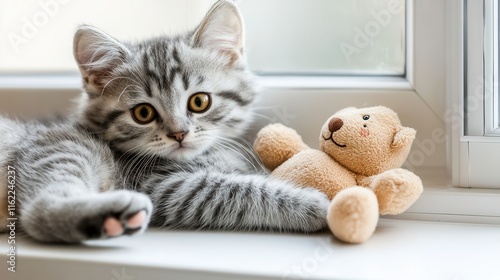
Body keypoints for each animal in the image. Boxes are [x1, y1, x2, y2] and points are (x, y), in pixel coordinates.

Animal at [0, 0, 330, 242]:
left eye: (199, 102)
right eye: (143, 113)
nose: (179, 133)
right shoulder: (165, 186)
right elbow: (240, 190)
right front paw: (314, 204)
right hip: (64, 147)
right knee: (38, 212)